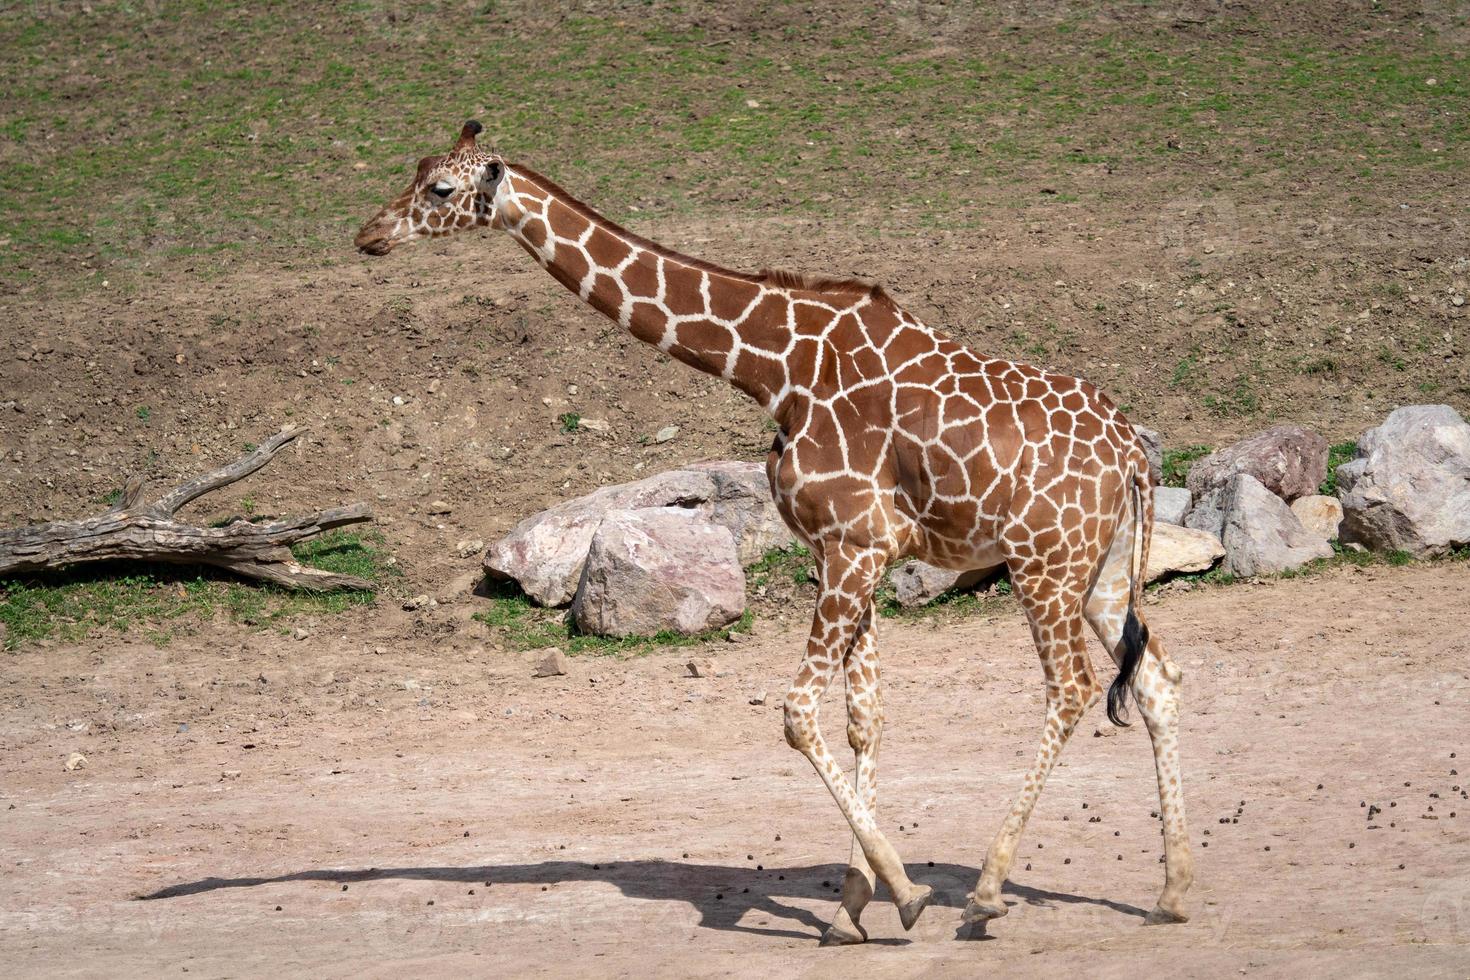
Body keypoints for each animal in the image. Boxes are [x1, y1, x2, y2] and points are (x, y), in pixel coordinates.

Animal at [355, 122, 1193, 940]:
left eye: (440, 188)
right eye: (418, 167)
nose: (369, 234)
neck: (774, 367)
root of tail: (1130, 453)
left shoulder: (854, 545)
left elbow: (795, 713)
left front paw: (904, 893)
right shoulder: (853, 551)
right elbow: (864, 718)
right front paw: (854, 907)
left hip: (1044, 564)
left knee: (1072, 688)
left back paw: (987, 893)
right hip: (1101, 571)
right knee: (1156, 678)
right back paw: (1172, 892)